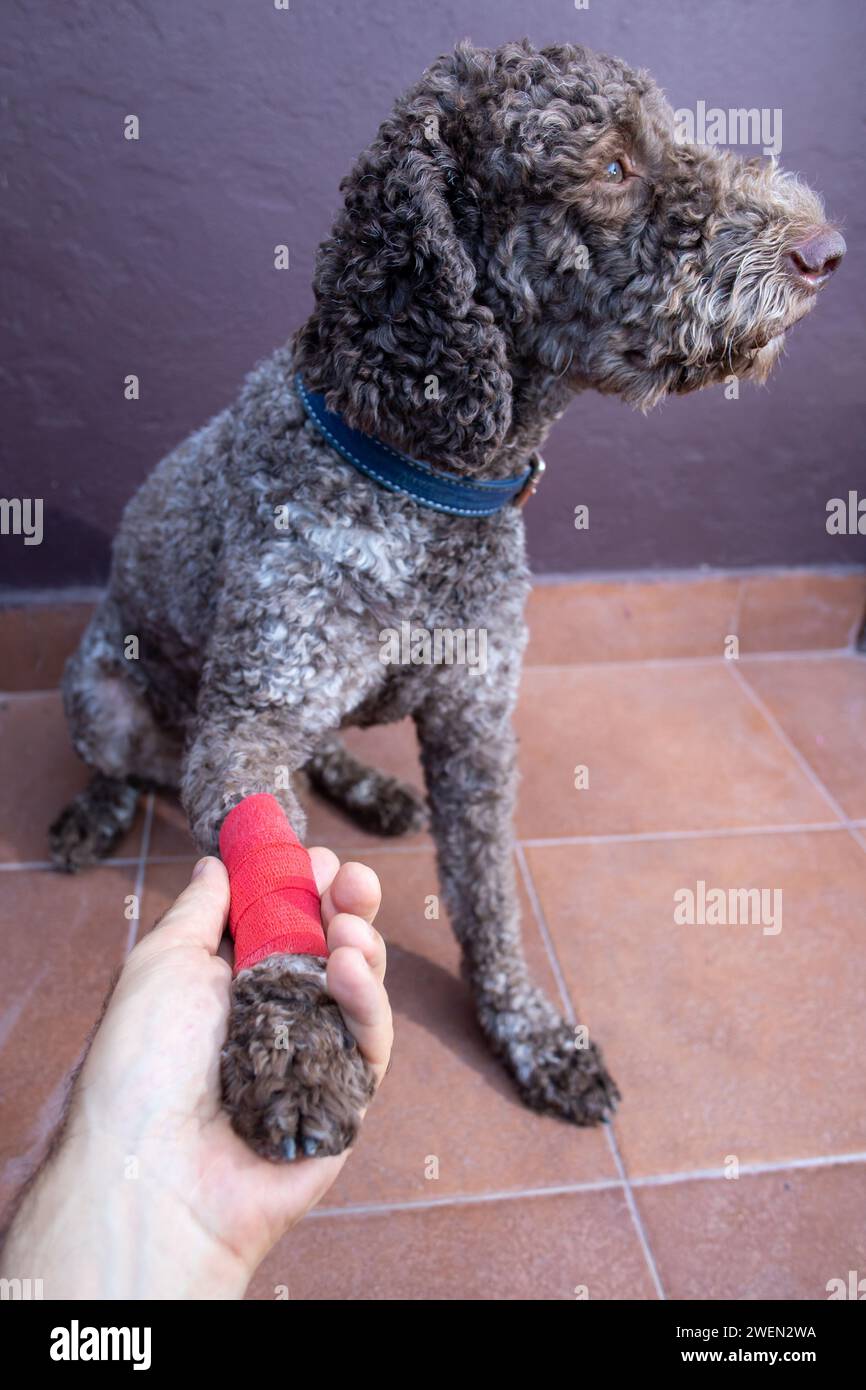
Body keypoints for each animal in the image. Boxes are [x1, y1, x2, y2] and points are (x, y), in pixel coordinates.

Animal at [48, 38, 845, 1156]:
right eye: (611, 166)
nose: (825, 250)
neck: (423, 481)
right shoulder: (247, 728)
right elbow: (276, 881)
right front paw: (301, 1043)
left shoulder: (477, 726)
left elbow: (487, 900)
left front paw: (531, 1033)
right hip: (106, 694)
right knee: (124, 763)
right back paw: (97, 811)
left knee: (320, 751)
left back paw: (367, 786)